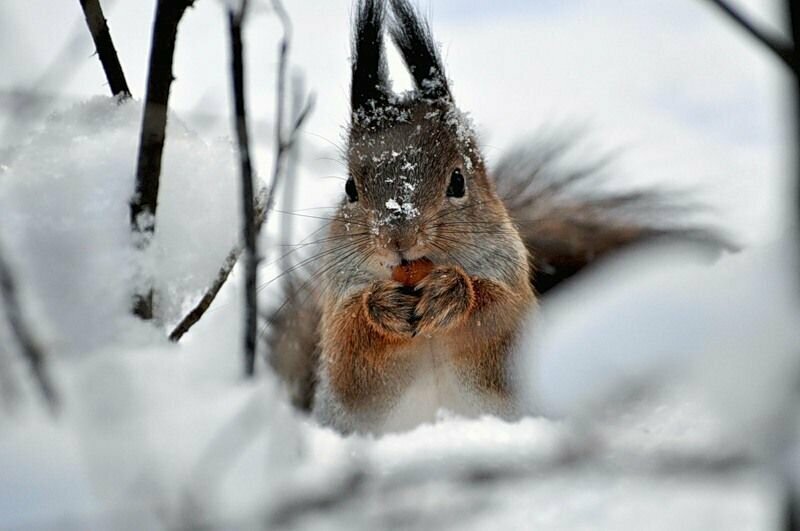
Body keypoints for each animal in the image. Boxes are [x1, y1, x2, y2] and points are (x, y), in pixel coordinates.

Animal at [268, 0, 724, 434]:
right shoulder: (336, 316)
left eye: (457, 181)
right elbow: (351, 363)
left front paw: (454, 292)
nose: (399, 239)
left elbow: (501, 330)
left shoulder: (511, 285)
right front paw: (381, 306)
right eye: (350, 188)